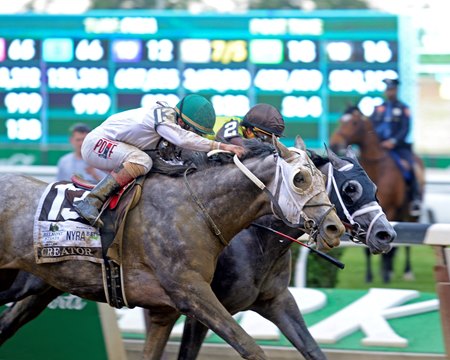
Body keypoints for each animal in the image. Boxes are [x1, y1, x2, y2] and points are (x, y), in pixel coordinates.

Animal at [0, 139, 344, 358]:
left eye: (320, 178)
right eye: (300, 178)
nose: (334, 228)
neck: (197, 210)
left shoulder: (164, 310)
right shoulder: (192, 293)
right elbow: (251, 348)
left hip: (37, 286)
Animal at [328, 107, 424, 284]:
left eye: (354, 122)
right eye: (341, 120)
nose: (335, 143)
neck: (377, 168)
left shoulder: (388, 209)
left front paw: (385, 275)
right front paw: (370, 275)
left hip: (410, 213)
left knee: (407, 245)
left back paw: (407, 271)